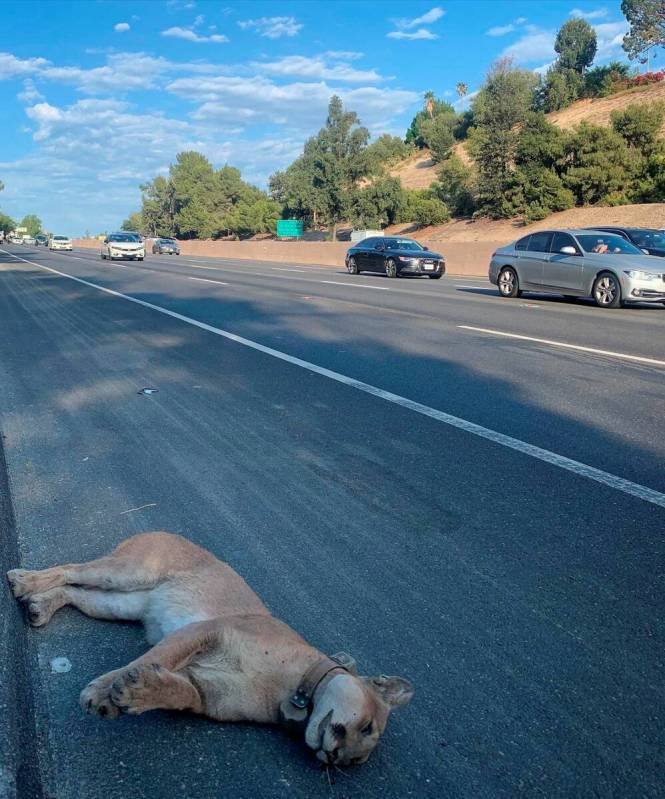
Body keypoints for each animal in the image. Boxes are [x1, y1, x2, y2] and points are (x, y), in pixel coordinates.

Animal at [7, 536, 412, 764]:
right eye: (367, 726)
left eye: (356, 763)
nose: (335, 757)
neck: (292, 689)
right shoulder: (208, 630)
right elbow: (154, 658)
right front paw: (104, 691)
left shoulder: (207, 693)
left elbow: (177, 692)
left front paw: (140, 691)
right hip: (126, 573)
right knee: (72, 569)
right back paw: (23, 580)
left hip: (122, 603)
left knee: (76, 593)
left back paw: (39, 605)